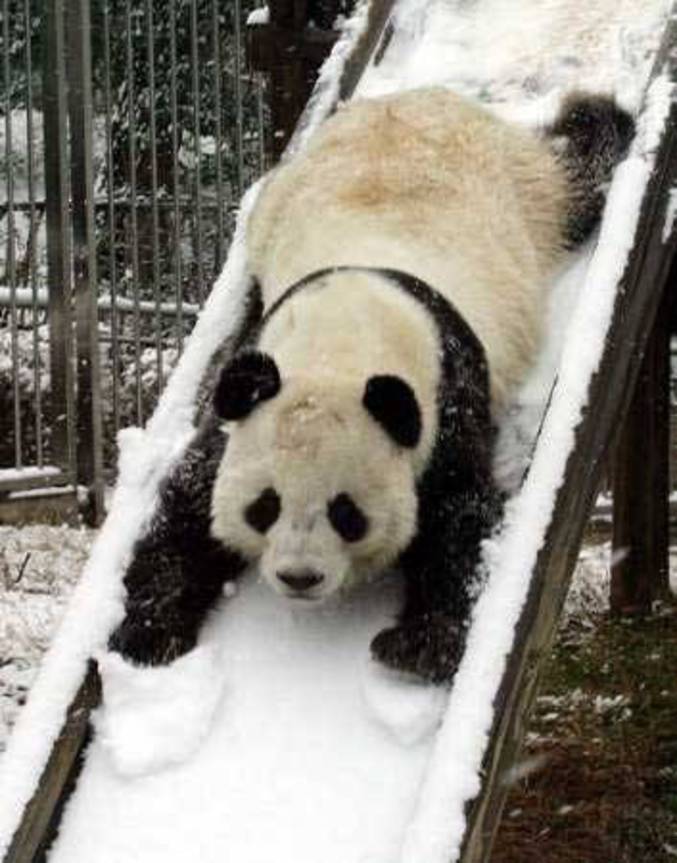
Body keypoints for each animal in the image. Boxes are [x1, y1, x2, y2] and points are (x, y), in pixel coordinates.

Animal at [111, 88, 632, 680]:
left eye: (346, 513)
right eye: (265, 506)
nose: (299, 577)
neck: (340, 344)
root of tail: (427, 96)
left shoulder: (445, 399)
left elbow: (462, 518)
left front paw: (418, 647)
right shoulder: (251, 395)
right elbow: (190, 503)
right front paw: (148, 631)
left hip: (522, 186)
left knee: (573, 173)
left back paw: (594, 113)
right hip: (281, 195)